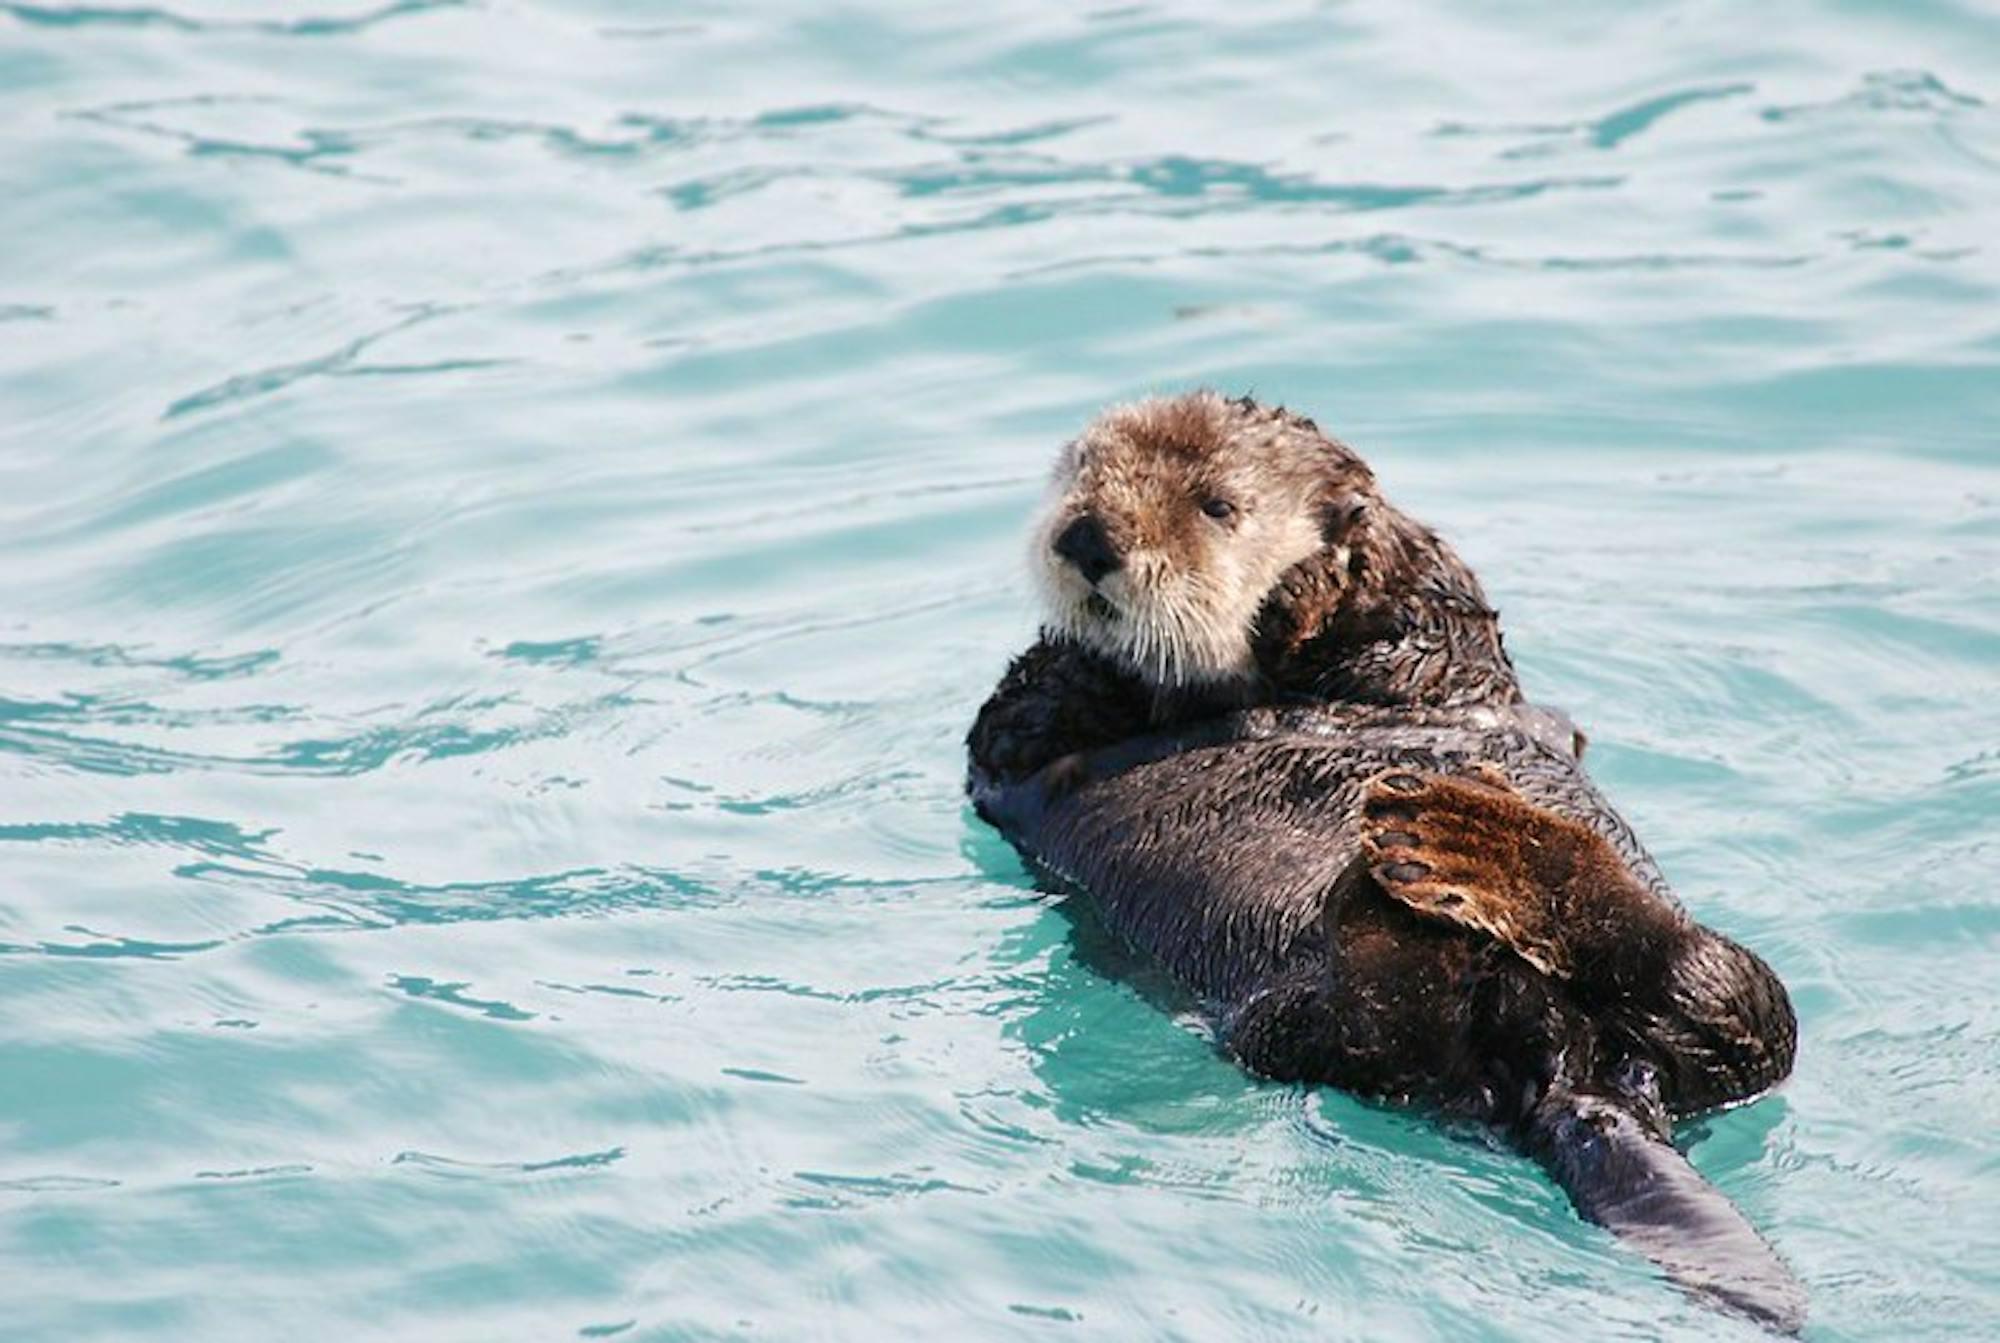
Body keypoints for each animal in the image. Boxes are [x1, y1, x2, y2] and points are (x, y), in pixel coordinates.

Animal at [968, 391, 1816, 1335]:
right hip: (1297, 1030)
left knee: (1727, 994)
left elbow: (1431, 610)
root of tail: (1574, 1071)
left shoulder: (1441, 647)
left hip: (1712, 1024)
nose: (1087, 537)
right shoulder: (1019, 743)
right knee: (1378, 1015)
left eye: (1219, 505)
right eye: (1079, 474)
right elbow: (1032, 708)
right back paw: (1401, 881)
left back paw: (1479, 846)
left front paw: (1320, 567)